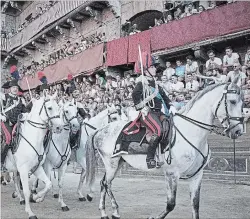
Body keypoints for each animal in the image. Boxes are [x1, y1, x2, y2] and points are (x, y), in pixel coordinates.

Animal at [86, 82, 244, 219]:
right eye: (232, 101)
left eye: (243, 103)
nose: (238, 131)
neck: (191, 131)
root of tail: (101, 130)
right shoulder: (171, 174)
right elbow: (170, 204)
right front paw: (154, 217)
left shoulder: (197, 175)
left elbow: (195, 205)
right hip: (111, 164)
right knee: (106, 183)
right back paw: (112, 211)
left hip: (118, 162)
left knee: (104, 183)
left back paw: (106, 212)